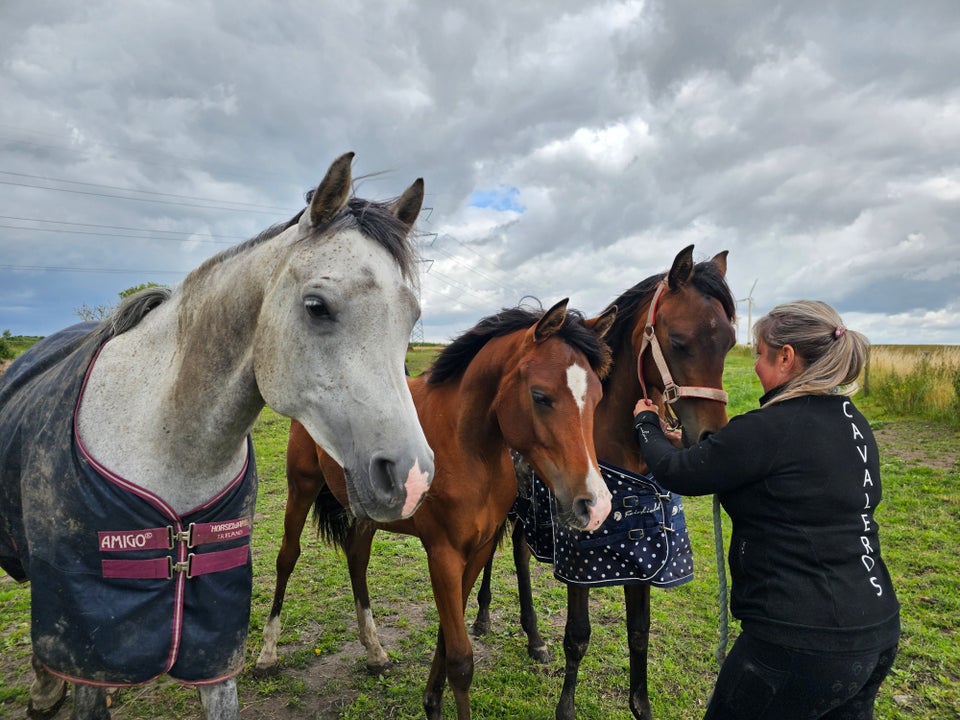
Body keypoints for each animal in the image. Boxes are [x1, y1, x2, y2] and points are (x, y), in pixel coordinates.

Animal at [0, 152, 436, 720]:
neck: (165, 443)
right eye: (317, 306)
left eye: (412, 318)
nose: (412, 477)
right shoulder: (84, 631)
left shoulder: (213, 639)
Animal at [255, 300, 616, 720]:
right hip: (301, 488)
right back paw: (267, 654)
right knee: (287, 557)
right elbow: (461, 660)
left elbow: (449, 635)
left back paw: (375, 652)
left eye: (598, 398)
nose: (595, 503)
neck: (467, 449)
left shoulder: (477, 550)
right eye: (541, 396)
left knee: (357, 559)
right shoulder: (443, 554)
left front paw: (432, 700)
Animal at [472, 245, 736, 716]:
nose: (709, 437)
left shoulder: (643, 561)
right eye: (679, 341)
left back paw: (534, 639)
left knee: (519, 554)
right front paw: (566, 708)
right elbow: (577, 636)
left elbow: (639, 633)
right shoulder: (580, 566)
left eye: (729, 342)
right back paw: (483, 618)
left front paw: (640, 706)